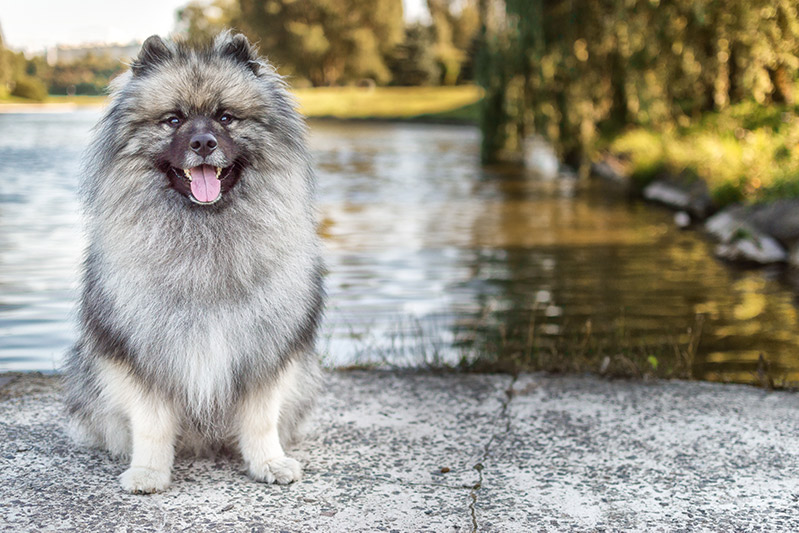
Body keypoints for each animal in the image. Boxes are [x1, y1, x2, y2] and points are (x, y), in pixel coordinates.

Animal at [63, 31, 324, 492]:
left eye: (225, 117)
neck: (204, 233)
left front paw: (269, 463)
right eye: (173, 120)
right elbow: (150, 423)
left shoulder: (264, 351)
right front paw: (148, 472)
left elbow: (261, 419)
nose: (203, 143)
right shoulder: (144, 353)